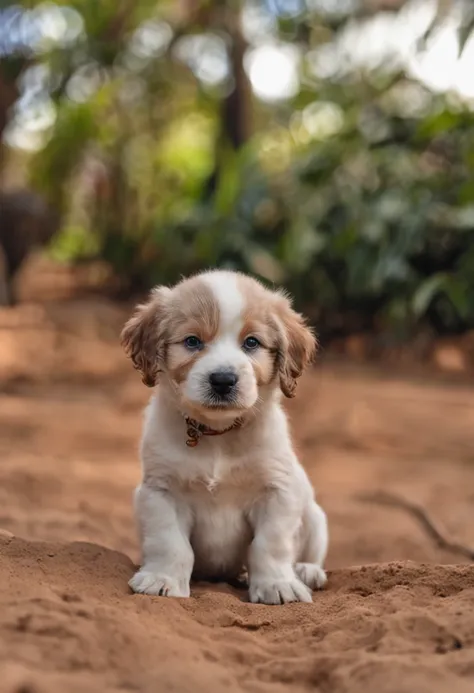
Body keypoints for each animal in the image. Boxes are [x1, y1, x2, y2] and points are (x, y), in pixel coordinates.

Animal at [122, 268, 328, 604]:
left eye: (252, 343)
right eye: (192, 341)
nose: (222, 380)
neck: (218, 435)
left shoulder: (278, 491)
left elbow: (270, 545)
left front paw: (277, 584)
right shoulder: (161, 491)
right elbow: (170, 543)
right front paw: (162, 579)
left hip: (314, 514)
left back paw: (306, 571)